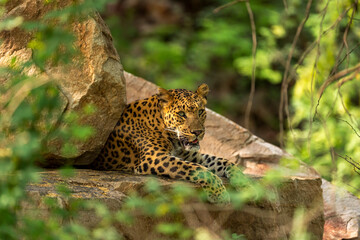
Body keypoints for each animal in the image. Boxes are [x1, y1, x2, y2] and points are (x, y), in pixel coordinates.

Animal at [93, 83, 245, 203]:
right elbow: (196, 169)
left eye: (200, 111)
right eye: (181, 114)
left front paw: (245, 184)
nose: (198, 132)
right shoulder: (154, 158)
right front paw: (219, 194)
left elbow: (224, 161)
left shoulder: (190, 156)